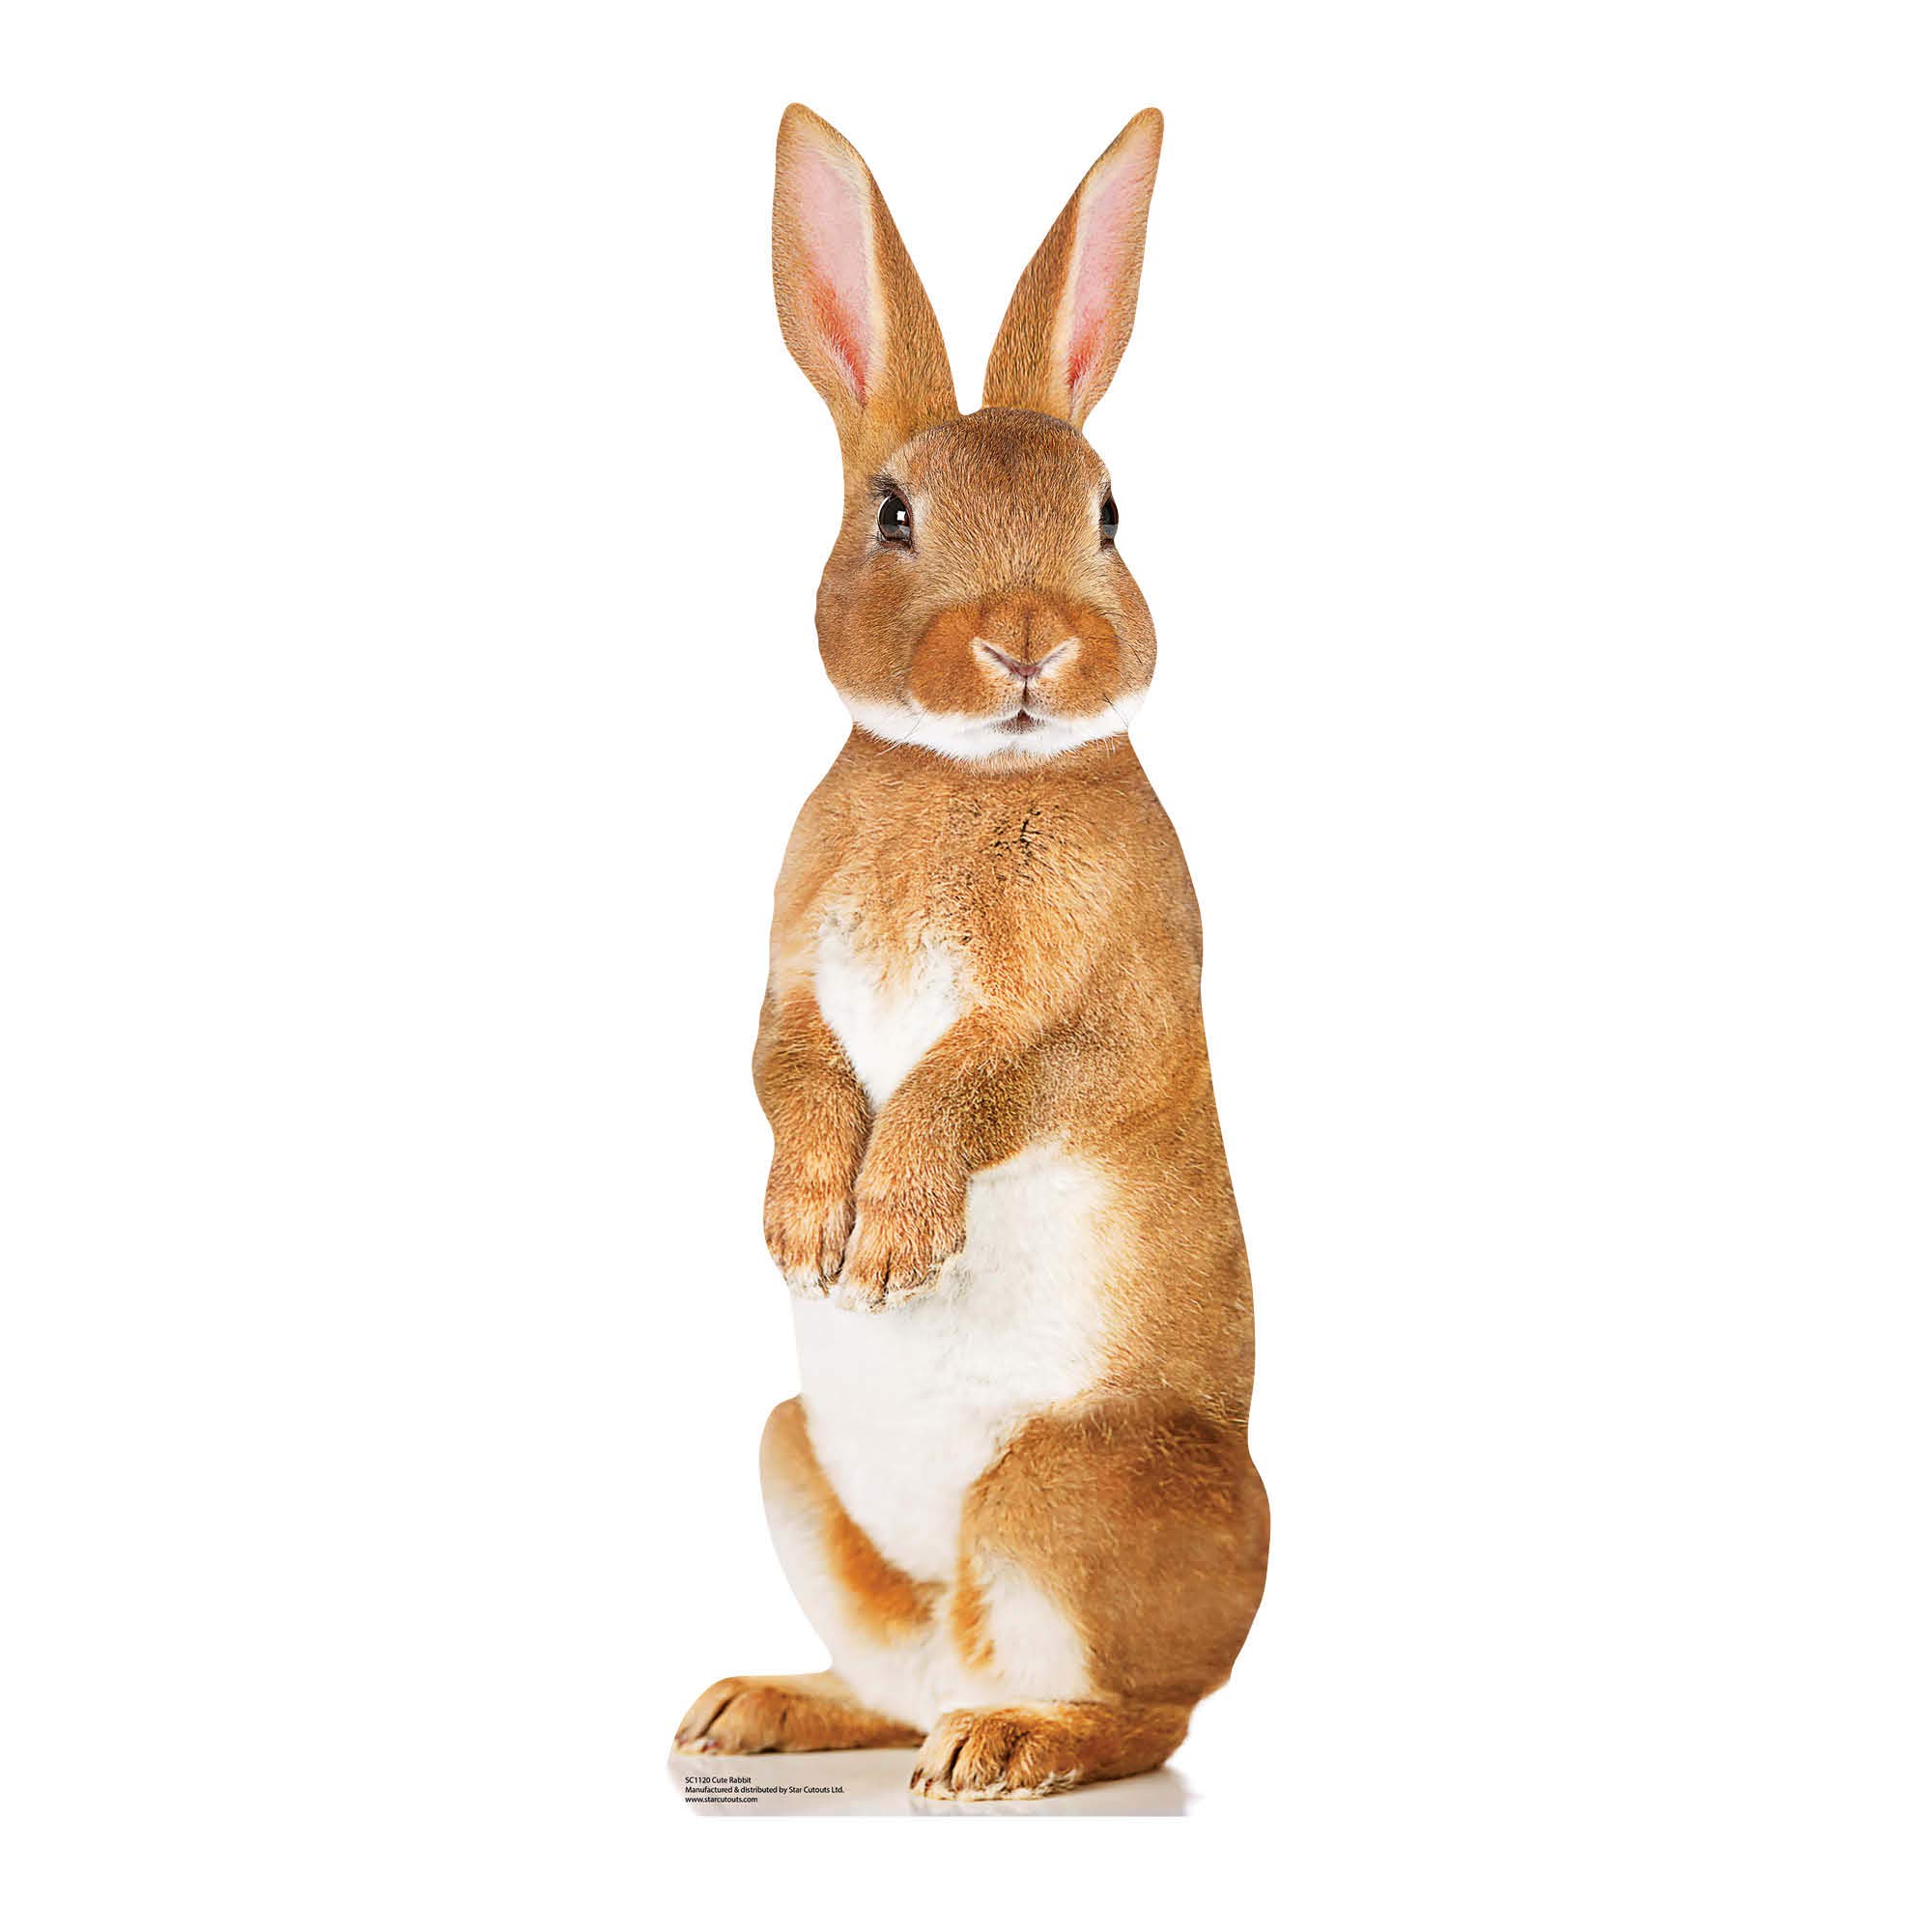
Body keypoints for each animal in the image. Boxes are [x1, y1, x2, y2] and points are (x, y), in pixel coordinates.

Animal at [674, 104, 1268, 1801]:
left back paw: (1008, 1746)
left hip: (1060, 1490)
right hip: (792, 1460)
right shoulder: (788, 984)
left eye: (1110, 513)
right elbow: (789, 1071)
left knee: (1141, 1718)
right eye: (892, 512)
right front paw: (810, 1229)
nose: (1027, 641)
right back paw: (760, 1710)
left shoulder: (1107, 1006)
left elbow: (980, 1084)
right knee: (894, 1677)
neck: (962, 772)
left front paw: (886, 1245)